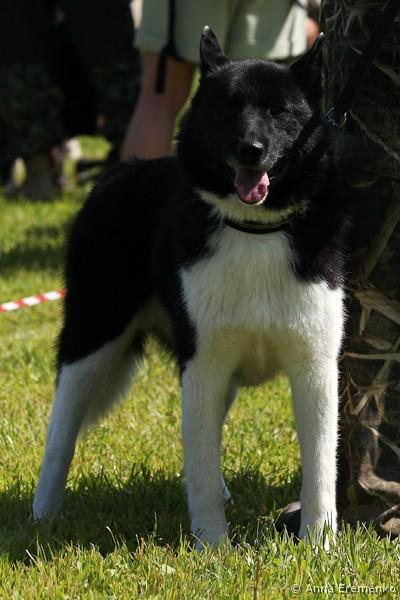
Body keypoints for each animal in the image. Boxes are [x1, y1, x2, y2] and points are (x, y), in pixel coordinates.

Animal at [33, 27, 347, 549]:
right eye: (228, 108)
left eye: (279, 111)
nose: (250, 149)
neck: (252, 230)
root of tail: (120, 171)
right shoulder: (203, 364)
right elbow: (199, 463)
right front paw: (212, 546)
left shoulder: (314, 367)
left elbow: (320, 468)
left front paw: (319, 544)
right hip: (93, 337)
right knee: (61, 431)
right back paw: (42, 514)